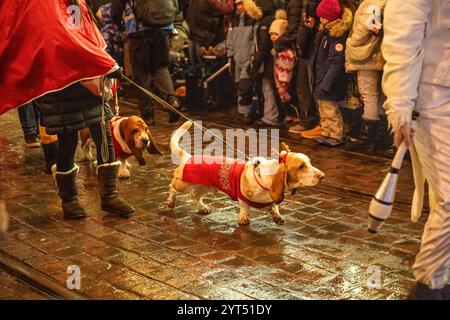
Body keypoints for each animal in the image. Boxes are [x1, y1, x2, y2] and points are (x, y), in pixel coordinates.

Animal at [167, 122, 326, 225]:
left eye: (309, 162)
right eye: (301, 166)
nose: (322, 176)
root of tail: (188, 156)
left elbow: (274, 205)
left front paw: (277, 215)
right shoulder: (242, 196)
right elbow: (244, 207)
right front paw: (243, 219)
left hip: (204, 187)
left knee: (195, 196)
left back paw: (202, 208)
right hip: (184, 184)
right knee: (173, 187)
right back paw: (170, 201)